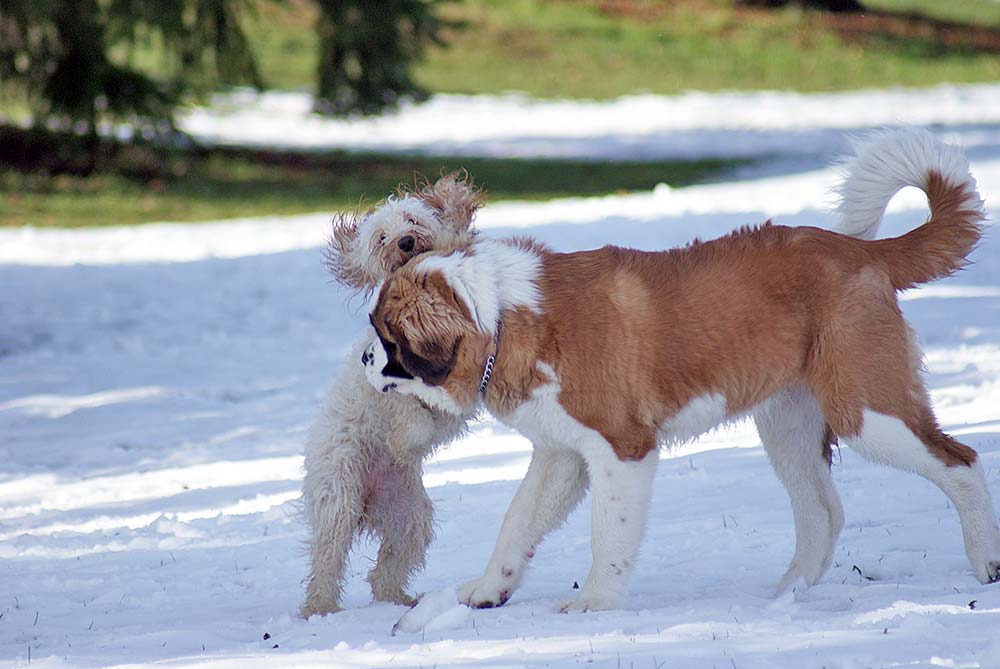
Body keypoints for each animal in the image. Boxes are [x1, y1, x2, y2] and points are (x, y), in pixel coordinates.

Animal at [300, 172, 483, 618]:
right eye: (382, 237)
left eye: (413, 220)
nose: (405, 242)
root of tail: (368, 506)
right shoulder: (386, 389)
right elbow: (408, 415)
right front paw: (405, 440)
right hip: (339, 491)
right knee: (328, 555)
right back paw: (319, 607)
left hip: (409, 515)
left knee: (387, 567)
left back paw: (399, 599)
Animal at [362, 129, 1000, 612]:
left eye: (386, 337)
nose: (364, 360)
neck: (499, 314)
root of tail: (864, 251)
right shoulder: (562, 453)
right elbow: (517, 520)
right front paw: (487, 589)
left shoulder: (622, 450)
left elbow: (608, 532)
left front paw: (595, 602)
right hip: (788, 424)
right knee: (822, 509)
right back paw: (786, 596)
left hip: (867, 409)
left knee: (961, 462)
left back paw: (986, 561)